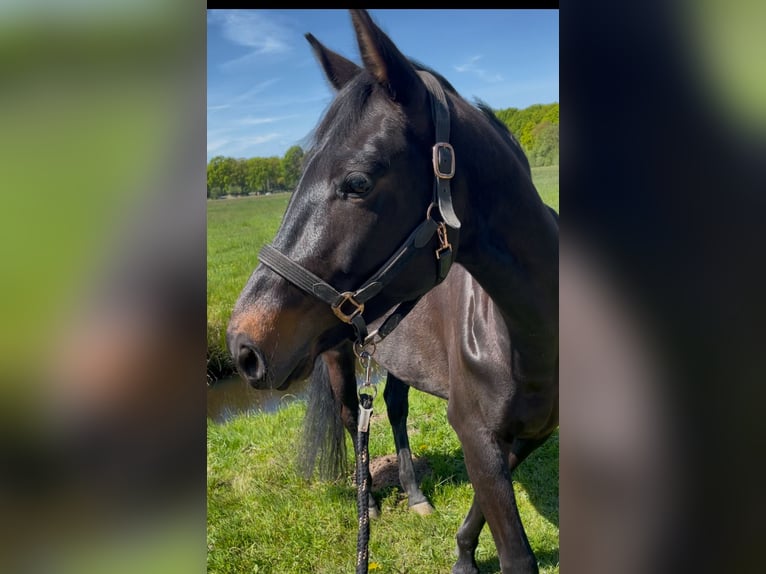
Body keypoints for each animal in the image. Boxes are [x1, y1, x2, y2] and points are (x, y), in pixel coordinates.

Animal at [226, 10, 558, 574]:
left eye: (358, 182)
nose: (242, 345)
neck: (529, 331)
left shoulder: (526, 433)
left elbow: (482, 503)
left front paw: (462, 554)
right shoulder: (476, 430)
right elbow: (514, 551)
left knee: (395, 407)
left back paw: (415, 495)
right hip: (338, 355)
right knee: (350, 416)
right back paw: (373, 502)